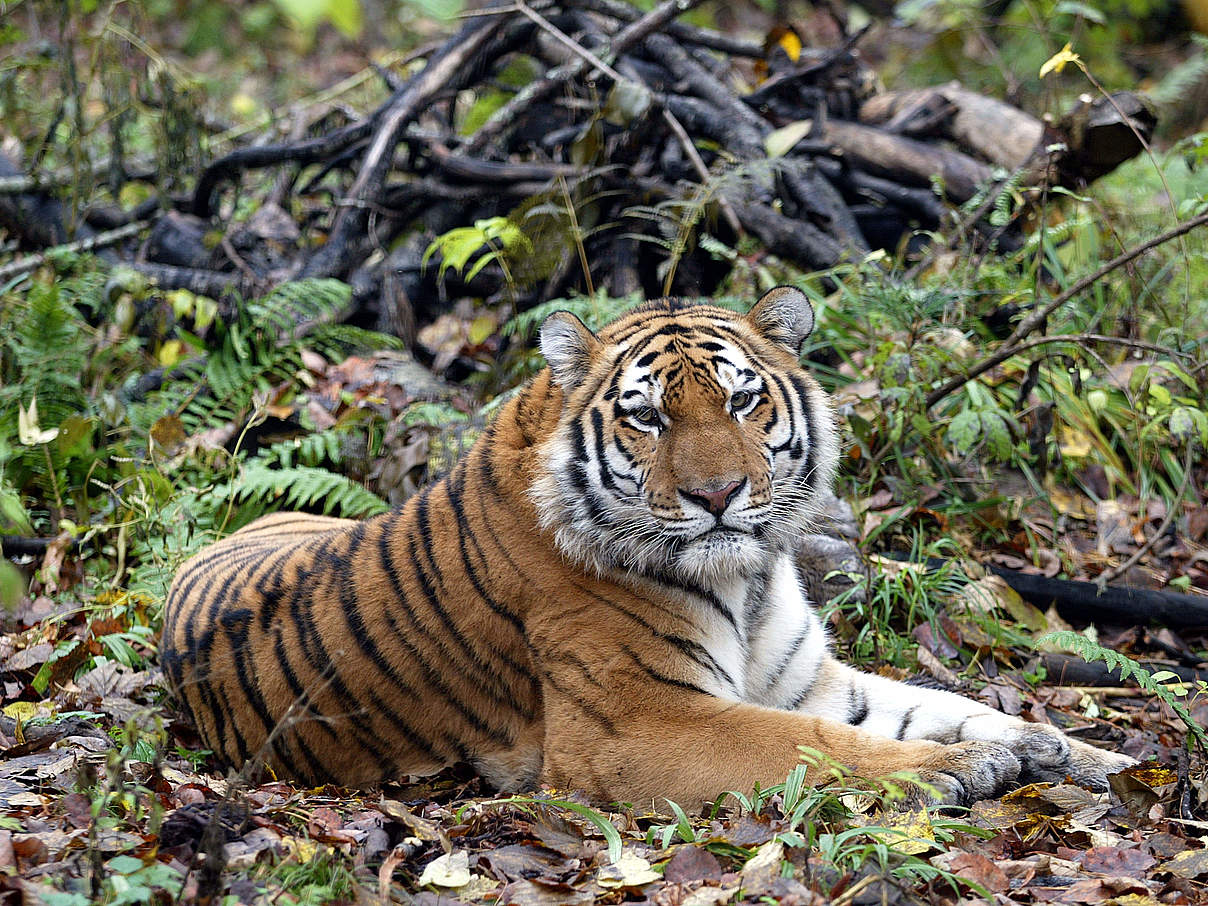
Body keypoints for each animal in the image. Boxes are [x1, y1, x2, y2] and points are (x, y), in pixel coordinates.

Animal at [160, 287, 1130, 806]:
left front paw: (1076, 752)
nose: (717, 495)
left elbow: (943, 703)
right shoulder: (641, 725)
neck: (746, 579)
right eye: (648, 416)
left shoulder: (806, 680)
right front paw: (963, 768)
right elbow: (818, 748)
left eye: (742, 401)